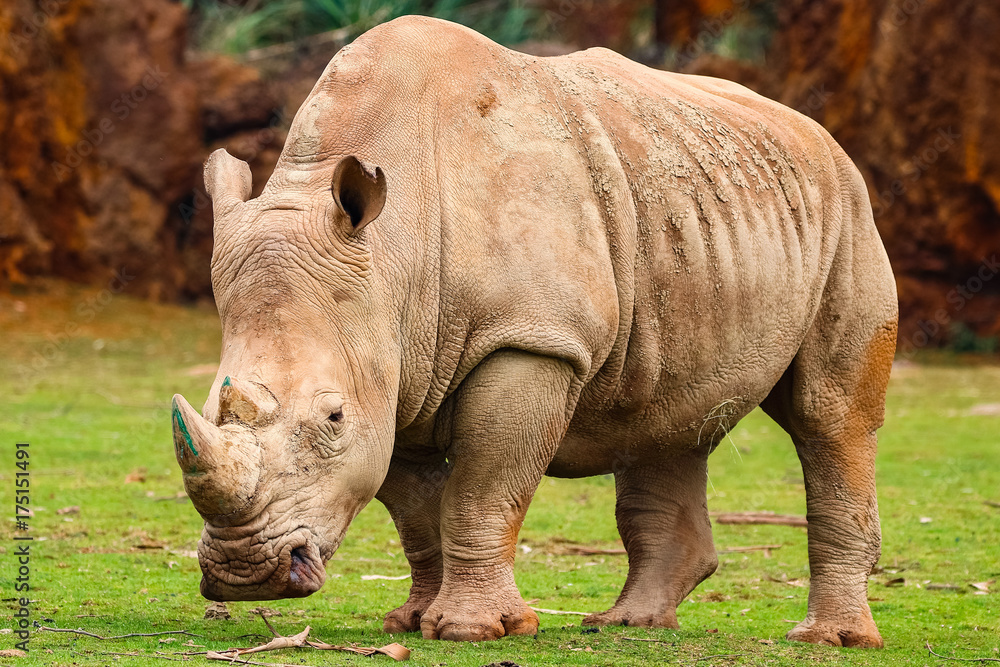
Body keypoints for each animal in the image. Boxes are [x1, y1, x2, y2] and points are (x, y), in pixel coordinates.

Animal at [171, 16, 897, 647]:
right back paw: (629, 624)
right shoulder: (396, 368)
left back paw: (829, 638)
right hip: (705, 210)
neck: (393, 255)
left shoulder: (532, 339)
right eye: (204, 404)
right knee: (666, 416)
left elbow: (484, 488)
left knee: (829, 417)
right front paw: (412, 620)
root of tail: (814, 131)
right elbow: (417, 511)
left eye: (332, 418)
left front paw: (473, 629)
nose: (244, 572)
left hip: (848, 209)